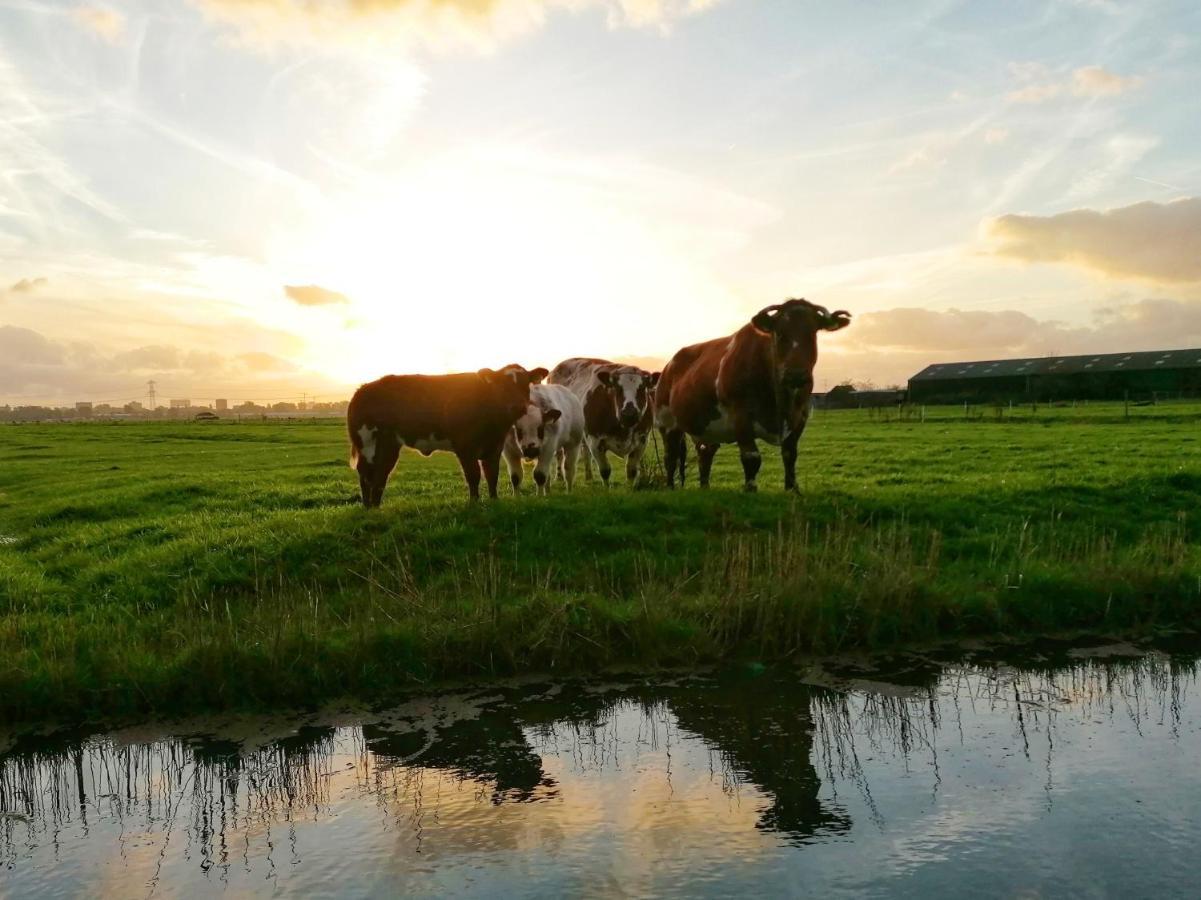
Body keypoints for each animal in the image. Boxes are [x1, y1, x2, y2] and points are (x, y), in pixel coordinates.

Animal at [348, 365, 550, 504]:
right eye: (501, 385)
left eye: (525, 383)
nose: (518, 406)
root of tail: (362, 389)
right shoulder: (465, 447)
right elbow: (473, 475)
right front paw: (474, 503)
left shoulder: (494, 447)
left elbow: (492, 474)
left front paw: (494, 501)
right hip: (366, 442)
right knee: (366, 473)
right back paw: (367, 507)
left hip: (388, 445)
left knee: (380, 474)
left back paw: (375, 507)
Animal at [550, 355, 662, 487]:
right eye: (617, 388)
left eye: (642, 388)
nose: (629, 414)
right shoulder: (595, 440)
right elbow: (605, 471)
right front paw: (607, 490)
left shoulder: (642, 440)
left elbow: (631, 471)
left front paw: (630, 489)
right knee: (559, 454)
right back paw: (559, 477)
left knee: (585, 453)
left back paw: (589, 477)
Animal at [653, 296, 850, 492]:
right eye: (779, 334)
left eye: (812, 333)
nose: (796, 374)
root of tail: (669, 365)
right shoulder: (740, 415)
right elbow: (752, 458)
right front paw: (750, 489)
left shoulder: (800, 416)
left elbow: (790, 455)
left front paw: (792, 489)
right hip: (667, 421)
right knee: (670, 457)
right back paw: (670, 487)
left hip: (705, 428)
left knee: (705, 455)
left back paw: (705, 487)